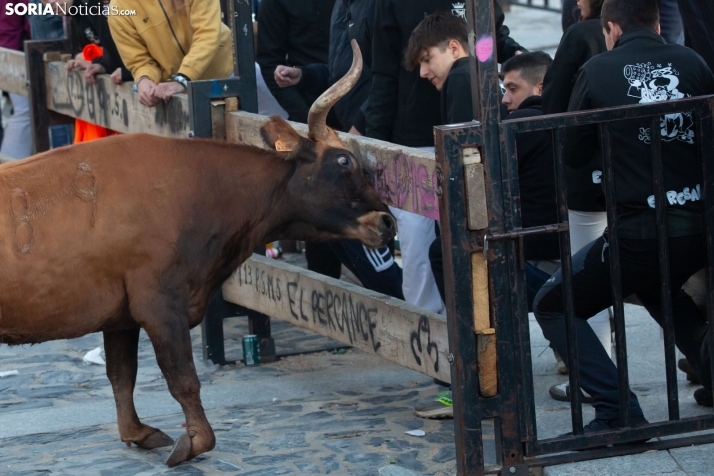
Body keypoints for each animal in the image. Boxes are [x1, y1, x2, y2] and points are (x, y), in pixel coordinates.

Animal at [0, 41, 392, 464]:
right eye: (344, 160)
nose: (388, 221)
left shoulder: (121, 315)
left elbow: (122, 375)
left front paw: (137, 432)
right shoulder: (159, 303)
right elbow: (183, 379)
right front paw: (194, 442)